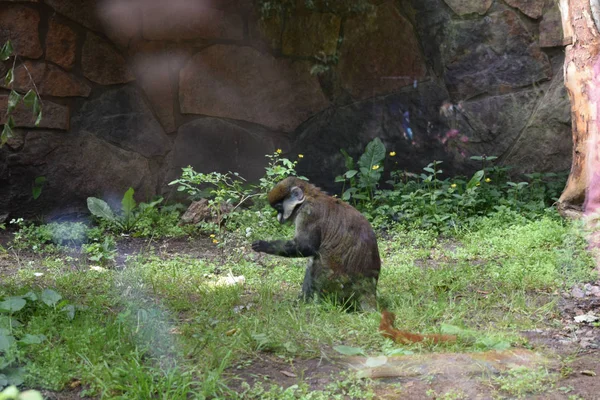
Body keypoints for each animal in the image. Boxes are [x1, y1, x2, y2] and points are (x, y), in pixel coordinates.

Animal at [252, 177, 382, 310]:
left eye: (279, 208)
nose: (279, 218)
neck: (310, 196)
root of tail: (367, 290)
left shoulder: (308, 213)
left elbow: (305, 247)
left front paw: (264, 245)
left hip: (338, 283)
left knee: (316, 262)